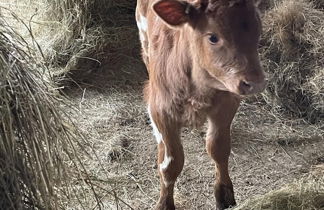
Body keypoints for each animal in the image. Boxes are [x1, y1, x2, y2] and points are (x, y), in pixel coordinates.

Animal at [136, 0, 266, 209]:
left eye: (258, 29)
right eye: (213, 37)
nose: (256, 83)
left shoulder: (227, 102)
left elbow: (218, 148)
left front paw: (224, 195)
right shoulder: (160, 110)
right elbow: (171, 164)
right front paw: (164, 202)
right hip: (144, 39)